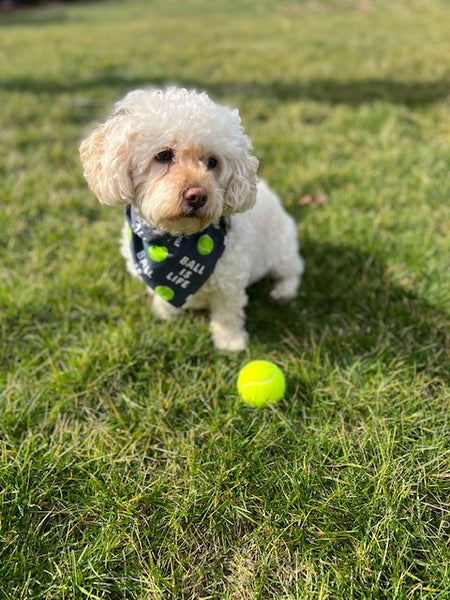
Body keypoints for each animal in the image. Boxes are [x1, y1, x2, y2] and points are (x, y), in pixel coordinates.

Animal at [79, 88, 304, 352]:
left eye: (212, 162)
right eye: (164, 155)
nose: (197, 196)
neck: (175, 240)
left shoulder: (230, 285)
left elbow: (227, 315)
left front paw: (230, 342)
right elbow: (163, 298)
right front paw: (165, 313)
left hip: (282, 251)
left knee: (293, 270)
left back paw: (283, 291)